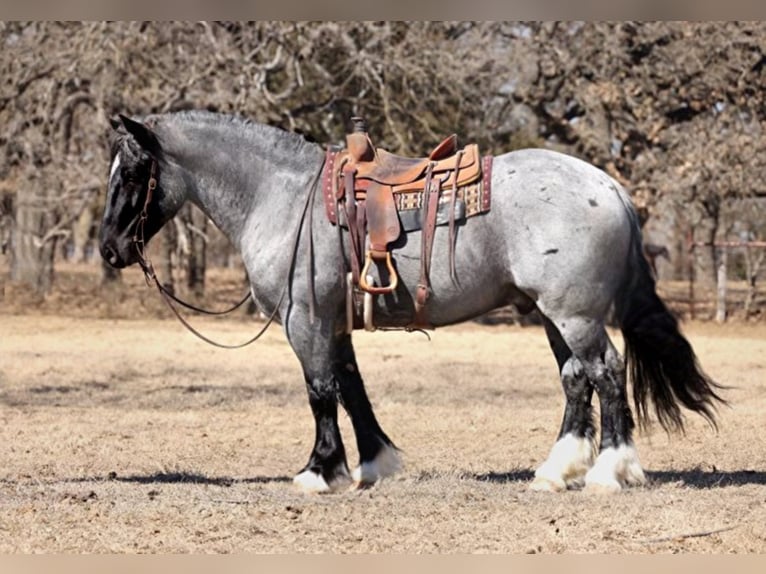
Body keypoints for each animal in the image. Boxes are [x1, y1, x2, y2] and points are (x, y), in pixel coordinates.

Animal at [97, 111, 728, 496]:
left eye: (133, 172)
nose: (108, 248)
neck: (281, 195)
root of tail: (609, 187)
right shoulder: (335, 322)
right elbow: (351, 388)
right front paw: (372, 463)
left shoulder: (305, 320)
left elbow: (320, 391)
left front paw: (318, 471)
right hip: (555, 314)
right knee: (577, 379)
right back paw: (556, 469)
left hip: (575, 315)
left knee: (607, 373)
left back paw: (608, 469)